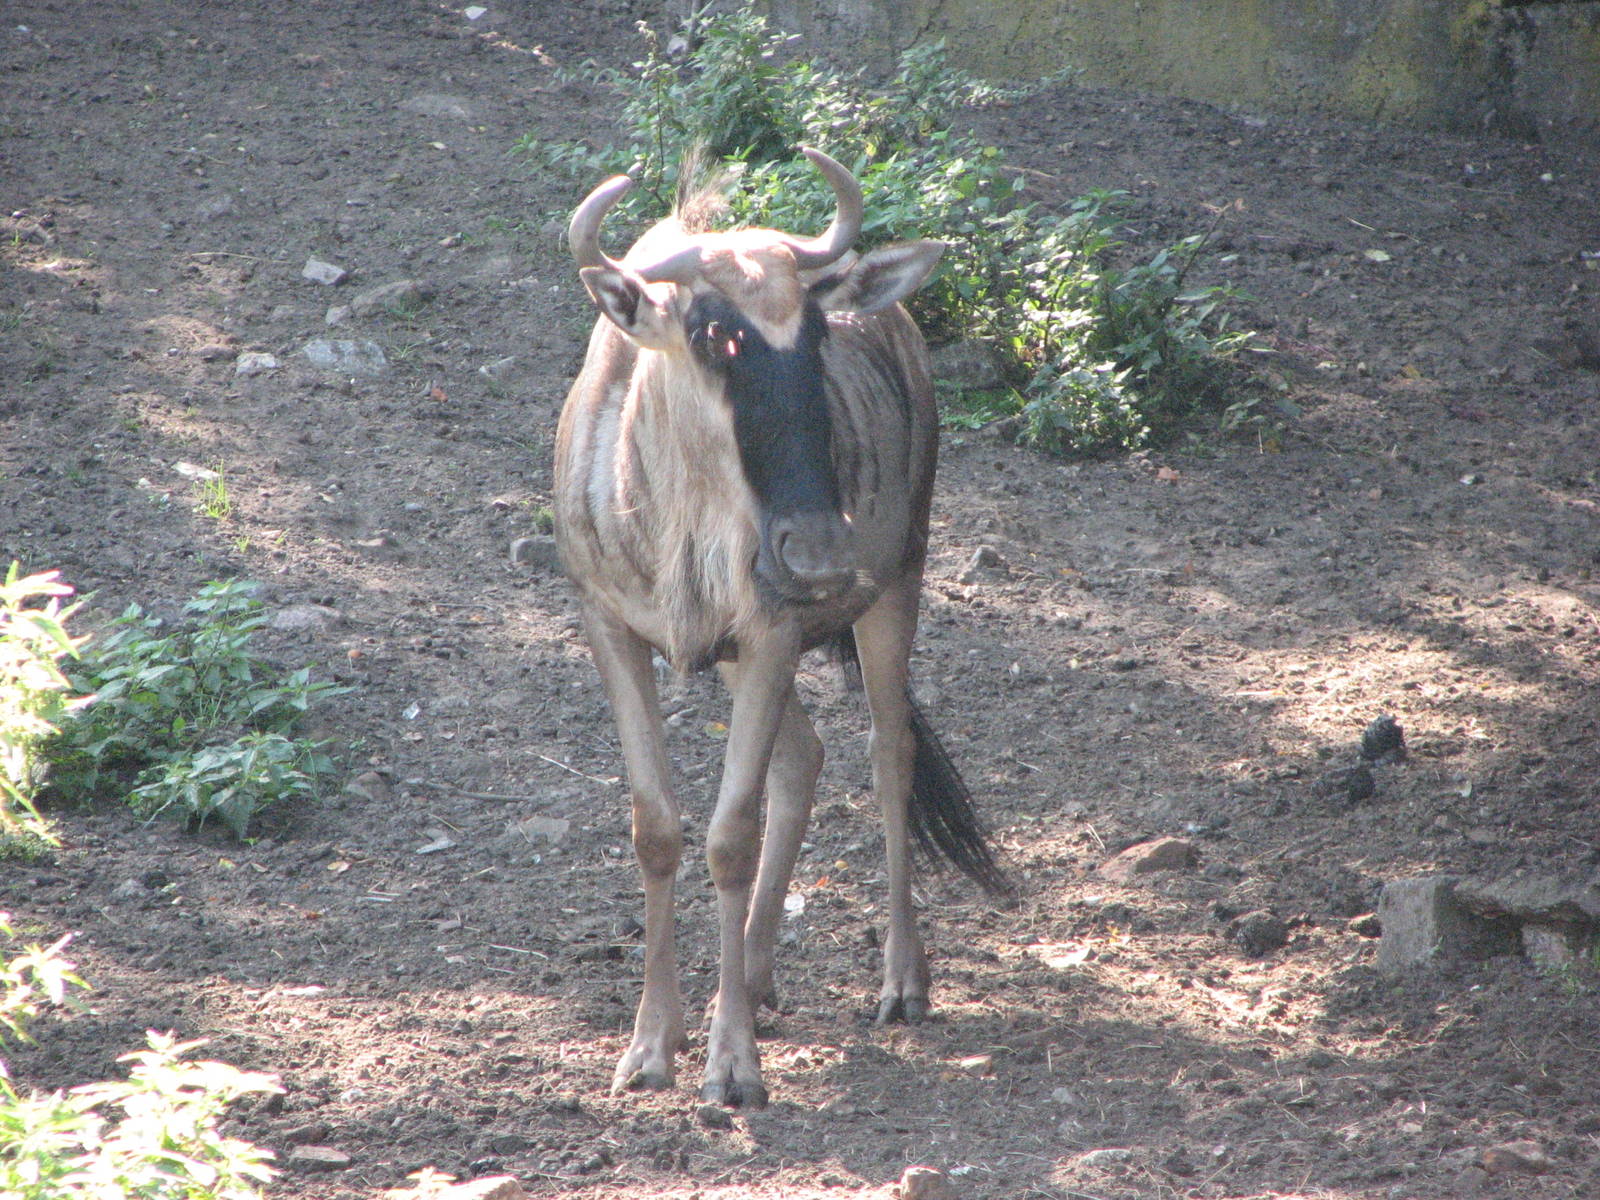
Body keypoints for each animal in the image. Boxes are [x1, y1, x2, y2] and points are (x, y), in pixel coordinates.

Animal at [554, 147, 1006, 1108]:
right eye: (712, 333)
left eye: (816, 332)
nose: (820, 548)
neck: (675, 511)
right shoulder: (615, 630)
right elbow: (658, 827)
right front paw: (652, 1043)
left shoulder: (767, 637)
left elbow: (730, 837)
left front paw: (730, 1063)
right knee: (805, 755)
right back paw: (757, 977)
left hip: (897, 586)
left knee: (885, 752)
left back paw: (900, 979)